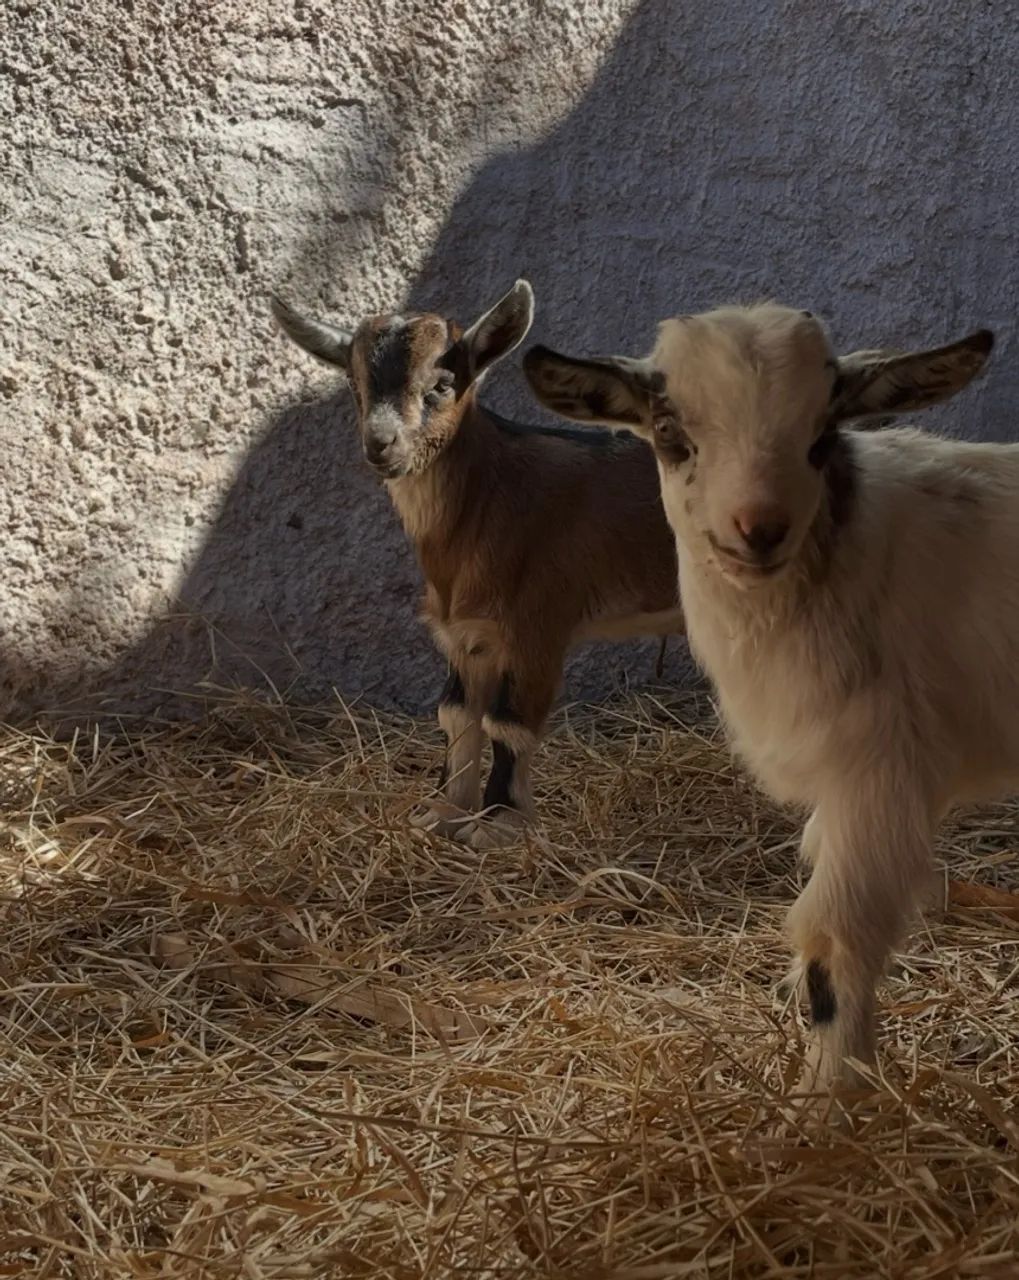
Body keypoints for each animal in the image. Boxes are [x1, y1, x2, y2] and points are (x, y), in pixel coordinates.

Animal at [271, 281, 683, 847]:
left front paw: (497, 823)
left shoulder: (537, 624)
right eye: (354, 383)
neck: (491, 497)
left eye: (442, 384)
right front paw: (441, 811)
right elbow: (456, 714)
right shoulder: (466, 635)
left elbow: (508, 721)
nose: (381, 444)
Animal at [524, 303, 998, 1091]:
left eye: (821, 435)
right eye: (669, 433)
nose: (760, 529)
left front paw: (828, 1098)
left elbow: (835, 942)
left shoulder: (878, 774)